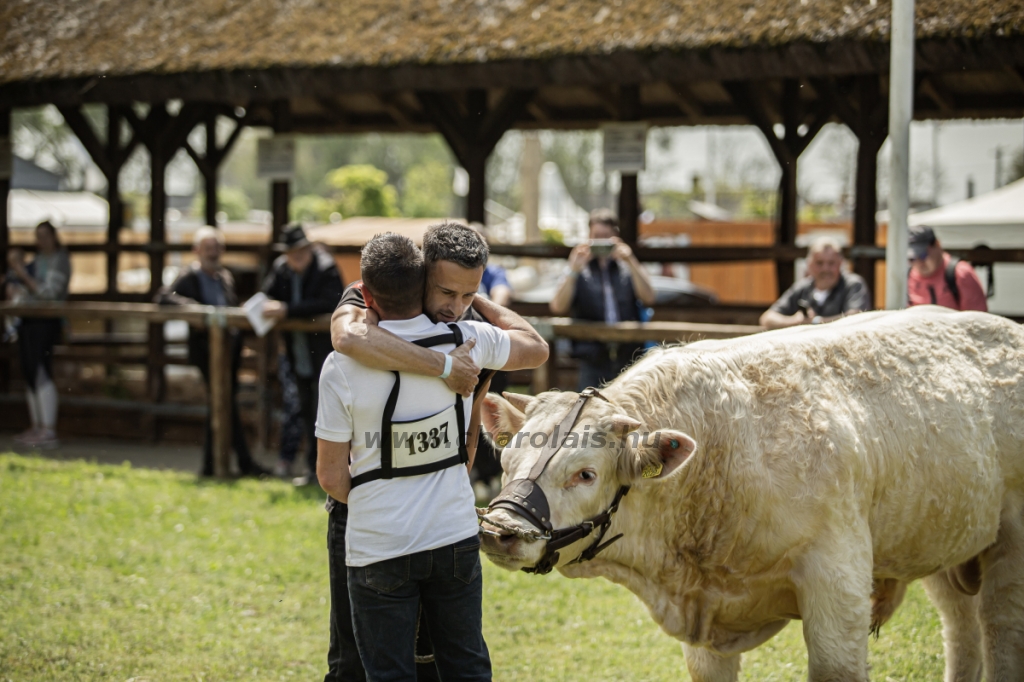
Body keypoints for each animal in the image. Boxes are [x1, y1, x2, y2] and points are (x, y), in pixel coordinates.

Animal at [479, 307, 1024, 679]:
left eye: (586, 474)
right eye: (505, 462)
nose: (498, 530)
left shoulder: (838, 580)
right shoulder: (706, 640)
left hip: (1008, 548)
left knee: (1000, 631)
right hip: (944, 542)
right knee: (962, 630)